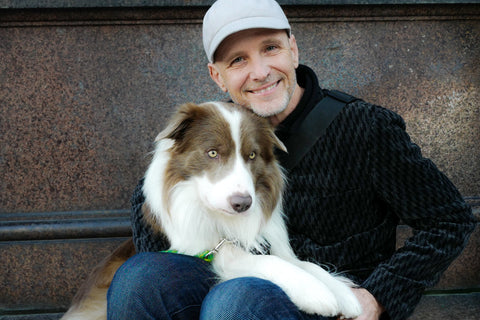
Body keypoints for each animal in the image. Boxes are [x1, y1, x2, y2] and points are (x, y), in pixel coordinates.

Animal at [61, 102, 360, 320]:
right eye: (213, 153)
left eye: (252, 155)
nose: (242, 204)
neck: (218, 215)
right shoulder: (205, 246)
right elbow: (266, 262)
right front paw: (316, 293)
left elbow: (305, 263)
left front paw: (344, 294)